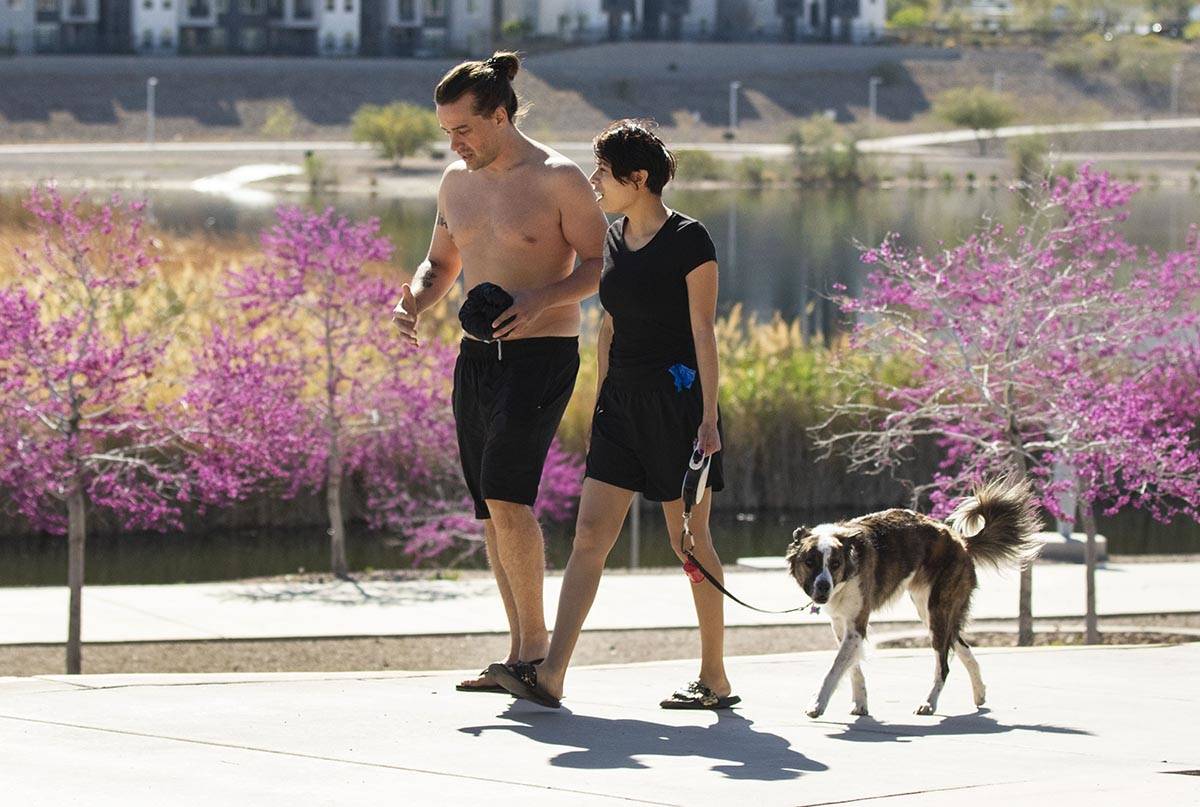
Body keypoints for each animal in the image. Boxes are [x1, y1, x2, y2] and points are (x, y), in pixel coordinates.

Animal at [787, 475, 1041, 715]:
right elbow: (852, 667)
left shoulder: (856, 626)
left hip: (937, 611)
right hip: (931, 613)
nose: (823, 586)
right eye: (810, 562)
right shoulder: (842, 625)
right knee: (963, 647)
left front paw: (817, 704)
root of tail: (959, 540)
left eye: (835, 564)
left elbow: (835, 667)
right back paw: (979, 694)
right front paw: (860, 703)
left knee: (944, 664)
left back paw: (929, 703)